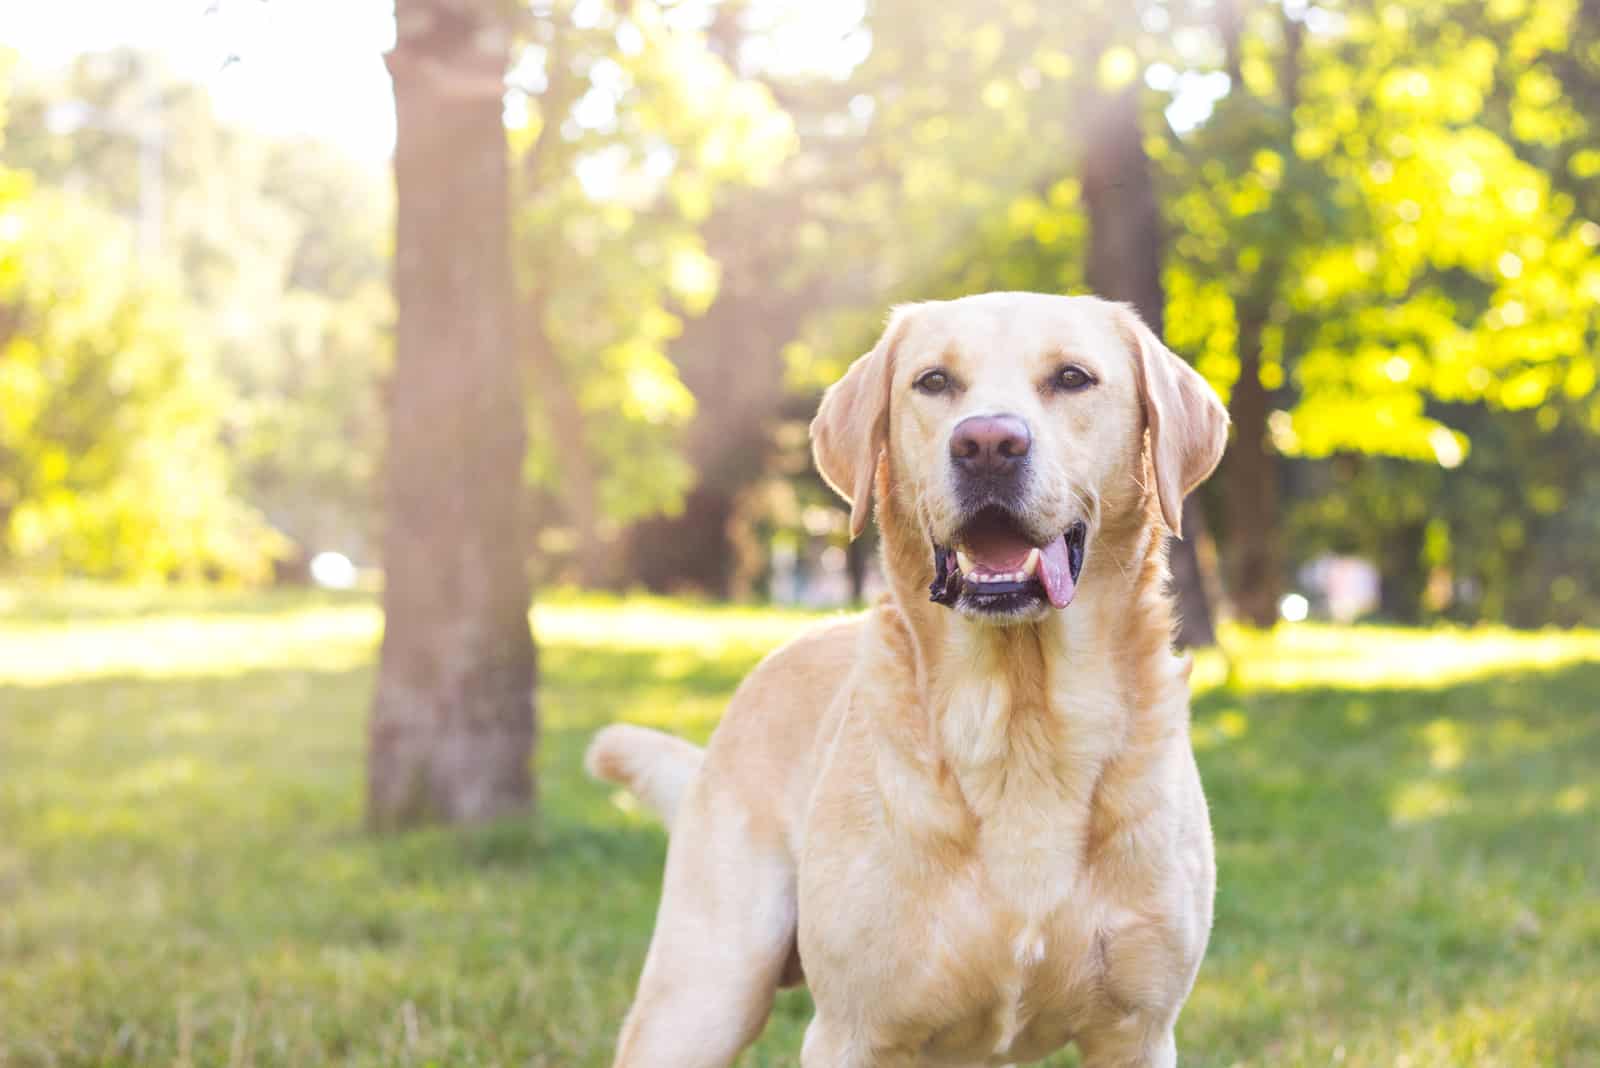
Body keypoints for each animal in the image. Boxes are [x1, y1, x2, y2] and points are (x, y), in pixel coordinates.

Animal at [588, 292, 1222, 1068]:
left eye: (1072, 378)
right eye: (934, 382)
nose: (987, 443)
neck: (1021, 724)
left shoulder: (1138, 1032)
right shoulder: (851, 1033)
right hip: (705, 994)